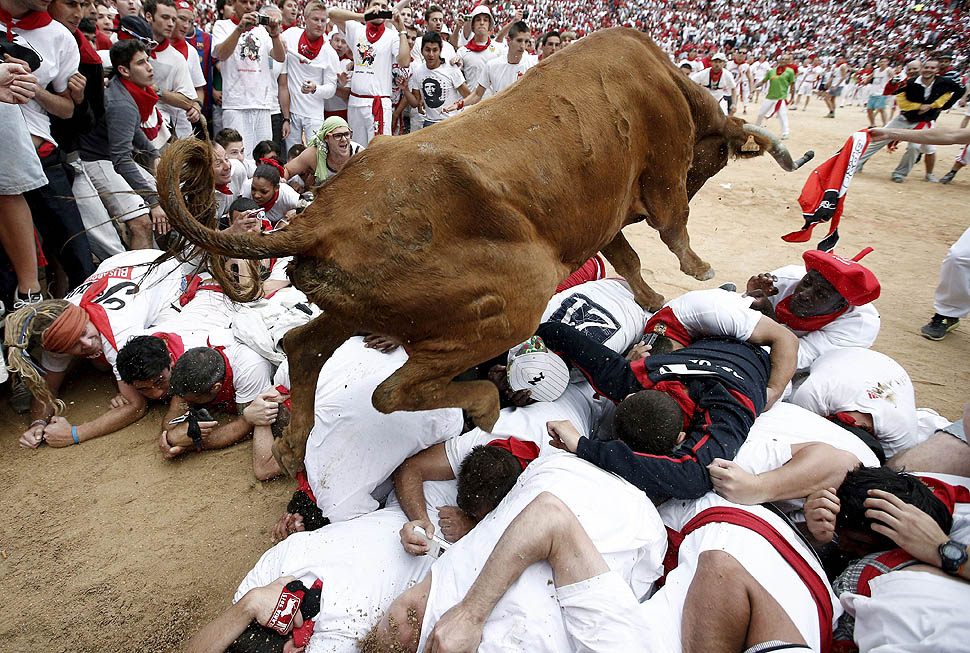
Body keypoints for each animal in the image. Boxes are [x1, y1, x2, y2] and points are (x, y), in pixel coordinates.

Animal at [161, 26, 808, 474]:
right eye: (718, 157)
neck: (665, 81)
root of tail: (318, 219)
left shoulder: (601, 218)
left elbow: (627, 257)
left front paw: (651, 299)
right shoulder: (664, 175)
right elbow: (673, 224)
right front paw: (698, 267)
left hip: (354, 308)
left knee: (303, 345)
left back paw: (294, 447)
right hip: (514, 299)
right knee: (393, 390)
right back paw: (482, 405)